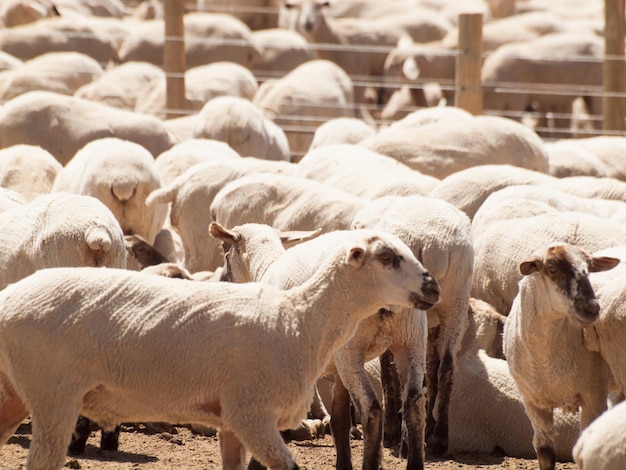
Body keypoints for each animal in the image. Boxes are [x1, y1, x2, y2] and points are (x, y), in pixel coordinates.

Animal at [0, 228, 438, 470]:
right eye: (387, 257)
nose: (433, 286)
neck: (297, 315)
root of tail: (9, 298)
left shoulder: (241, 415)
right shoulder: (252, 411)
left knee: (404, 400)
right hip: (52, 395)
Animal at [352, 194, 472, 458]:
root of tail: (432, 243)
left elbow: (388, 369)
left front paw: (393, 429)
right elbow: (432, 368)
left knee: (405, 376)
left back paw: (403, 439)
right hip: (456, 300)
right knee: (447, 366)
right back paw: (439, 438)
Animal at [500, 242, 616, 470]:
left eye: (589, 269)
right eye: (552, 268)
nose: (592, 308)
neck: (545, 363)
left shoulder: (594, 393)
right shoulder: (532, 401)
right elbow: (544, 450)